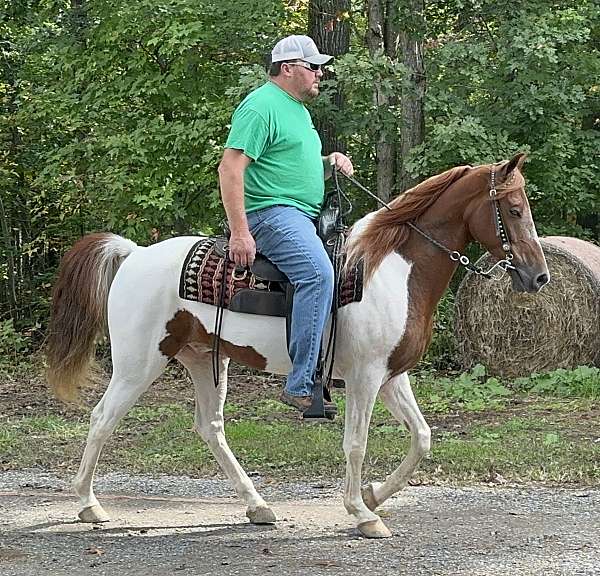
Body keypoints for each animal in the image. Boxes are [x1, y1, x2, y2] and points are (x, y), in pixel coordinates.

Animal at [45, 154, 548, 540]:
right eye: (514, 208)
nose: (539, 277)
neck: (391, 270)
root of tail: (134, 253)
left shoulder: (392, 376)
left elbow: (421, 437)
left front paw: (373, 495)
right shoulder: (365, 378)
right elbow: (356, 443)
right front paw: (362, 513)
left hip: (205, 361)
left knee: (210, 428)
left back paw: (257, 506)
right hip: (139, 363)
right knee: (102, 418)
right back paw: (88, 504)